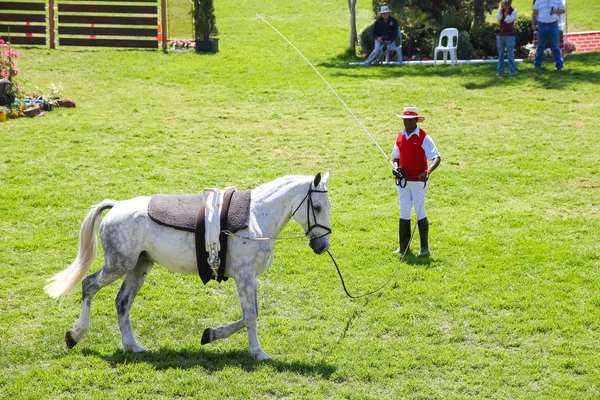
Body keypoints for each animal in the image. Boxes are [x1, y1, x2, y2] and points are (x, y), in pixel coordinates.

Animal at [45, 171, 332, 360]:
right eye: (317, 206)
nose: (323, 245)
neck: (256, 217)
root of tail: (116, 206)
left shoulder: (249, 279)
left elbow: (250, 315)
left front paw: (211, 334)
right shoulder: (245, 277)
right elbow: (251, 316)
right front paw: (258, 353)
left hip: (139, 266)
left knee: (122, 302)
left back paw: (132, 345)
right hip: (119, 265)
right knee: (89, 285)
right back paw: (75, 334)